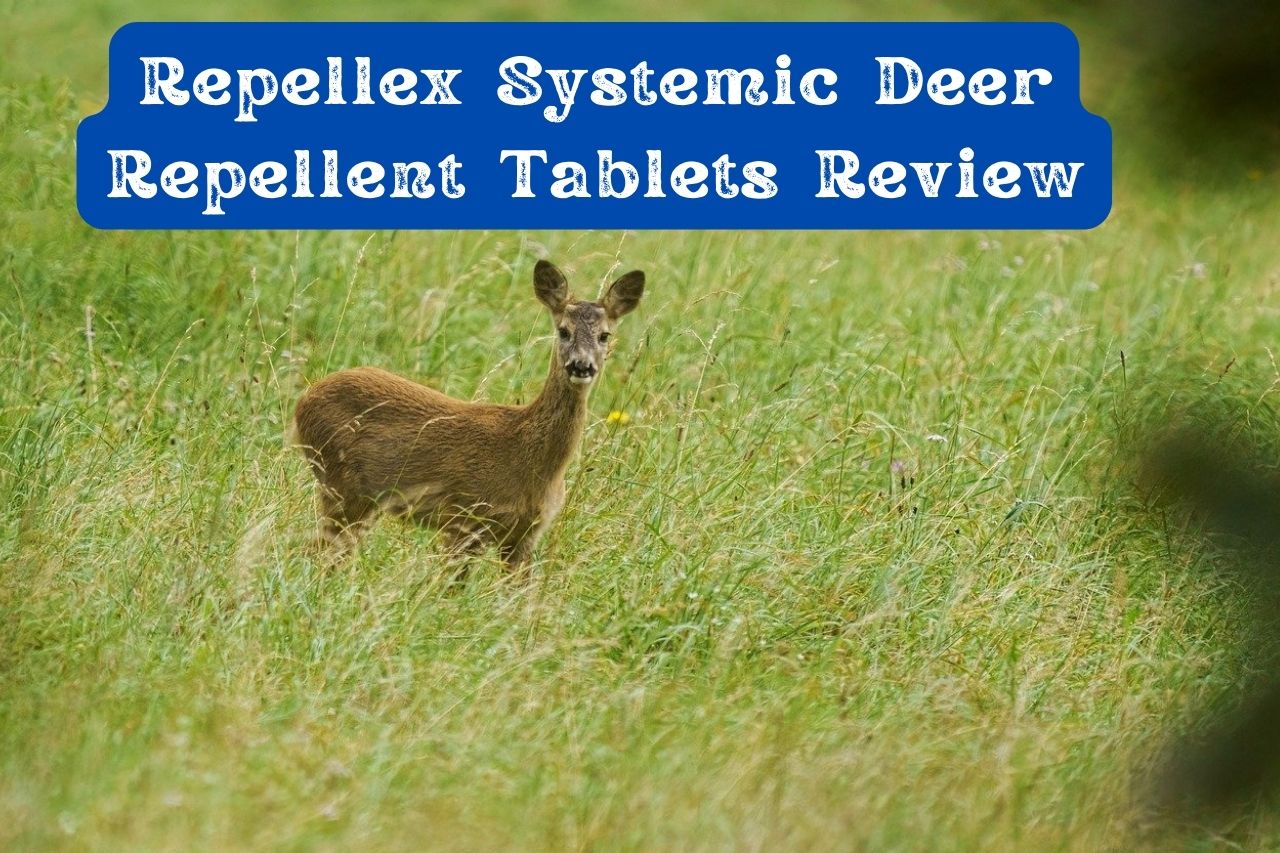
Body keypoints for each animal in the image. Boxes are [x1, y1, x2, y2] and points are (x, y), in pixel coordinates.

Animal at [291, 259, 645, 577]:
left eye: (605, 335)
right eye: (563, 331)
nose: (581, 365)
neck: (533, 460)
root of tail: (304, 400)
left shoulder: (525, 535)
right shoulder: (462, 517)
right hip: (340, 485)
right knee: (315, 552)